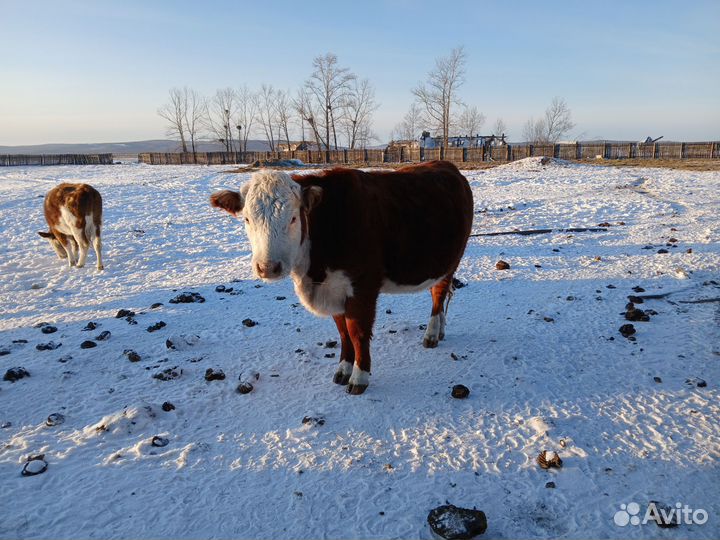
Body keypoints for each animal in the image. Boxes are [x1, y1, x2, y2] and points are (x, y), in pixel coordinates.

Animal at [211, 159, 476, 392]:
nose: (268, 267)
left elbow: (357, 332)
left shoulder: (363, 286)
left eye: (294, 218)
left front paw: (359, 378)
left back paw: (431, 333)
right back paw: (440, 330)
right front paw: (343, 370)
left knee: (438, 294)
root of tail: (445, 164)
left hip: (452, 258)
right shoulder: (332, 290)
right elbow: (343, 332)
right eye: (247, 219)